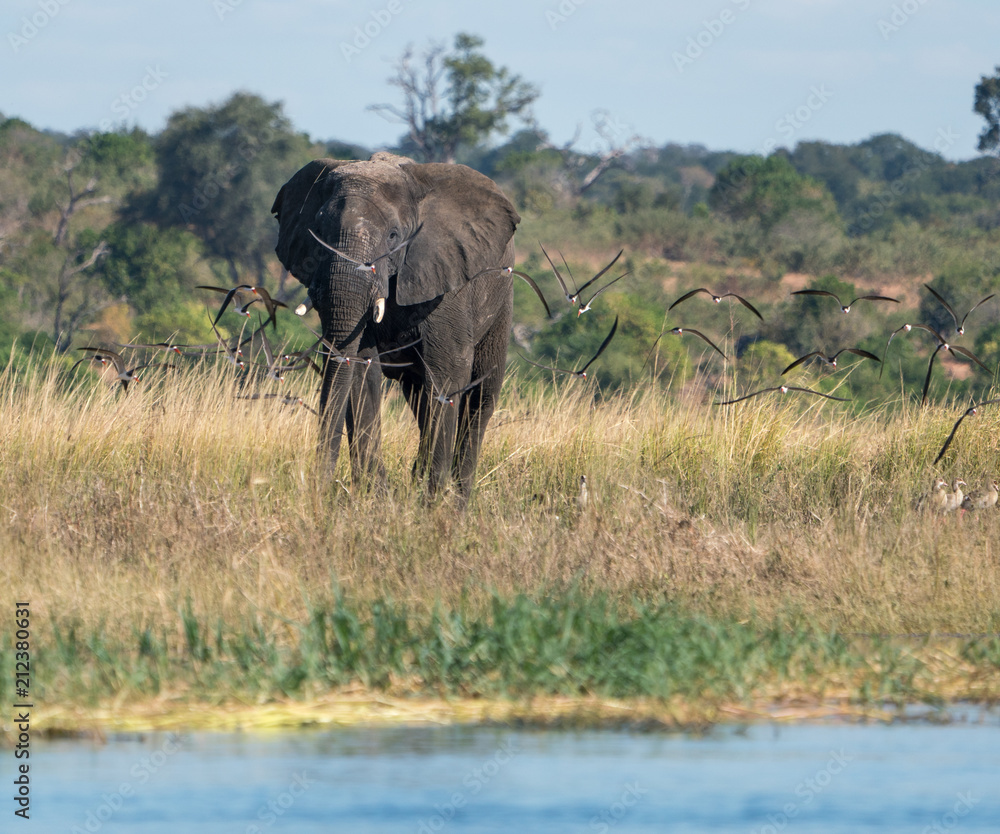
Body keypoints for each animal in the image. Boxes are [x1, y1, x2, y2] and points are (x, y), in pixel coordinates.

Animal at [271, 152, 521, 501]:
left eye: (393, 236)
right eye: (317, 231)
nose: (319, 490)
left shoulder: (447, 282)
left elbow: (446, 373)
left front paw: (431, 504)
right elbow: (362, 372)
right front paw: (376, 499)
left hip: (501, 301)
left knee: (480, 397)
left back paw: (456, 500)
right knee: (418, 397)